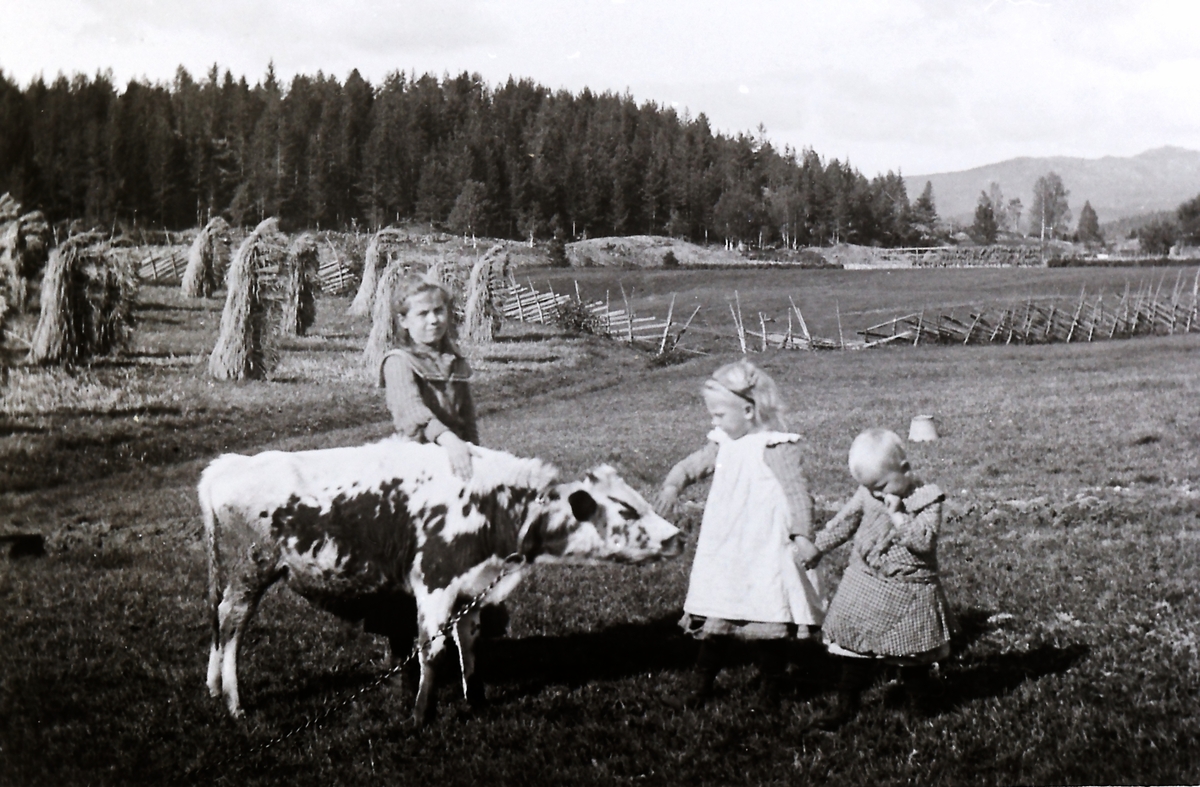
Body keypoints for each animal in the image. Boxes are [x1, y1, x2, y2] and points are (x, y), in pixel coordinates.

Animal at [201, 436, 681, 724]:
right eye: (626, 510)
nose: (676, 536)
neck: (493, 505)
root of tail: (227, 466)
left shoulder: (469, 588)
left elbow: (468, 644)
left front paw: (476, 698)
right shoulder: (434, 584)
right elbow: (431, 649)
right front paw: (421, 714)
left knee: (219, 625)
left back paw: (214, 688)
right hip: (251, 571)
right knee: (232, 625)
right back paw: (235, 702)